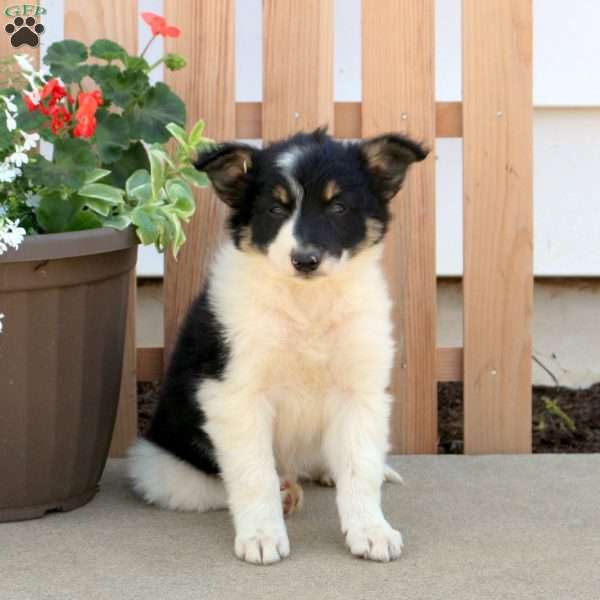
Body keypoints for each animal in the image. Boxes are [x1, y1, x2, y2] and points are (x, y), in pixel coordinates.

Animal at [127, 126, 426, 564]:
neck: (307, 304)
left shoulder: (360, 390)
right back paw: (286, 494)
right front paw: (262, 536)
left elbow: (360, 467)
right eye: (275, 210)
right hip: (165, 466)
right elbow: (255, 475)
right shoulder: (234, 394)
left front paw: (371, 530)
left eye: (338, 208)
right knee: (214, 485)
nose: (305, 259)